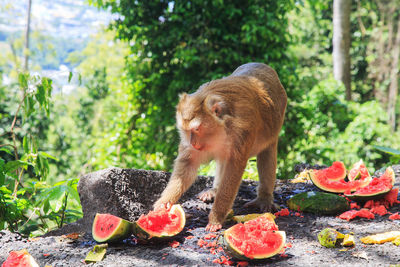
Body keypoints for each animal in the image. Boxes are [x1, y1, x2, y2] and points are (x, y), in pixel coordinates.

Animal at [154, 62, 288, 232]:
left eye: (196, 129)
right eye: (186, 131)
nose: (193, 143)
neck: (223, 128)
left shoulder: (243, 130)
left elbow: (234, 168)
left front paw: (216, 217)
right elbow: (188, 164)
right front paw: (163, 205)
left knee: (267, 153)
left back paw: (264, 198)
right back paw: (214, 190)